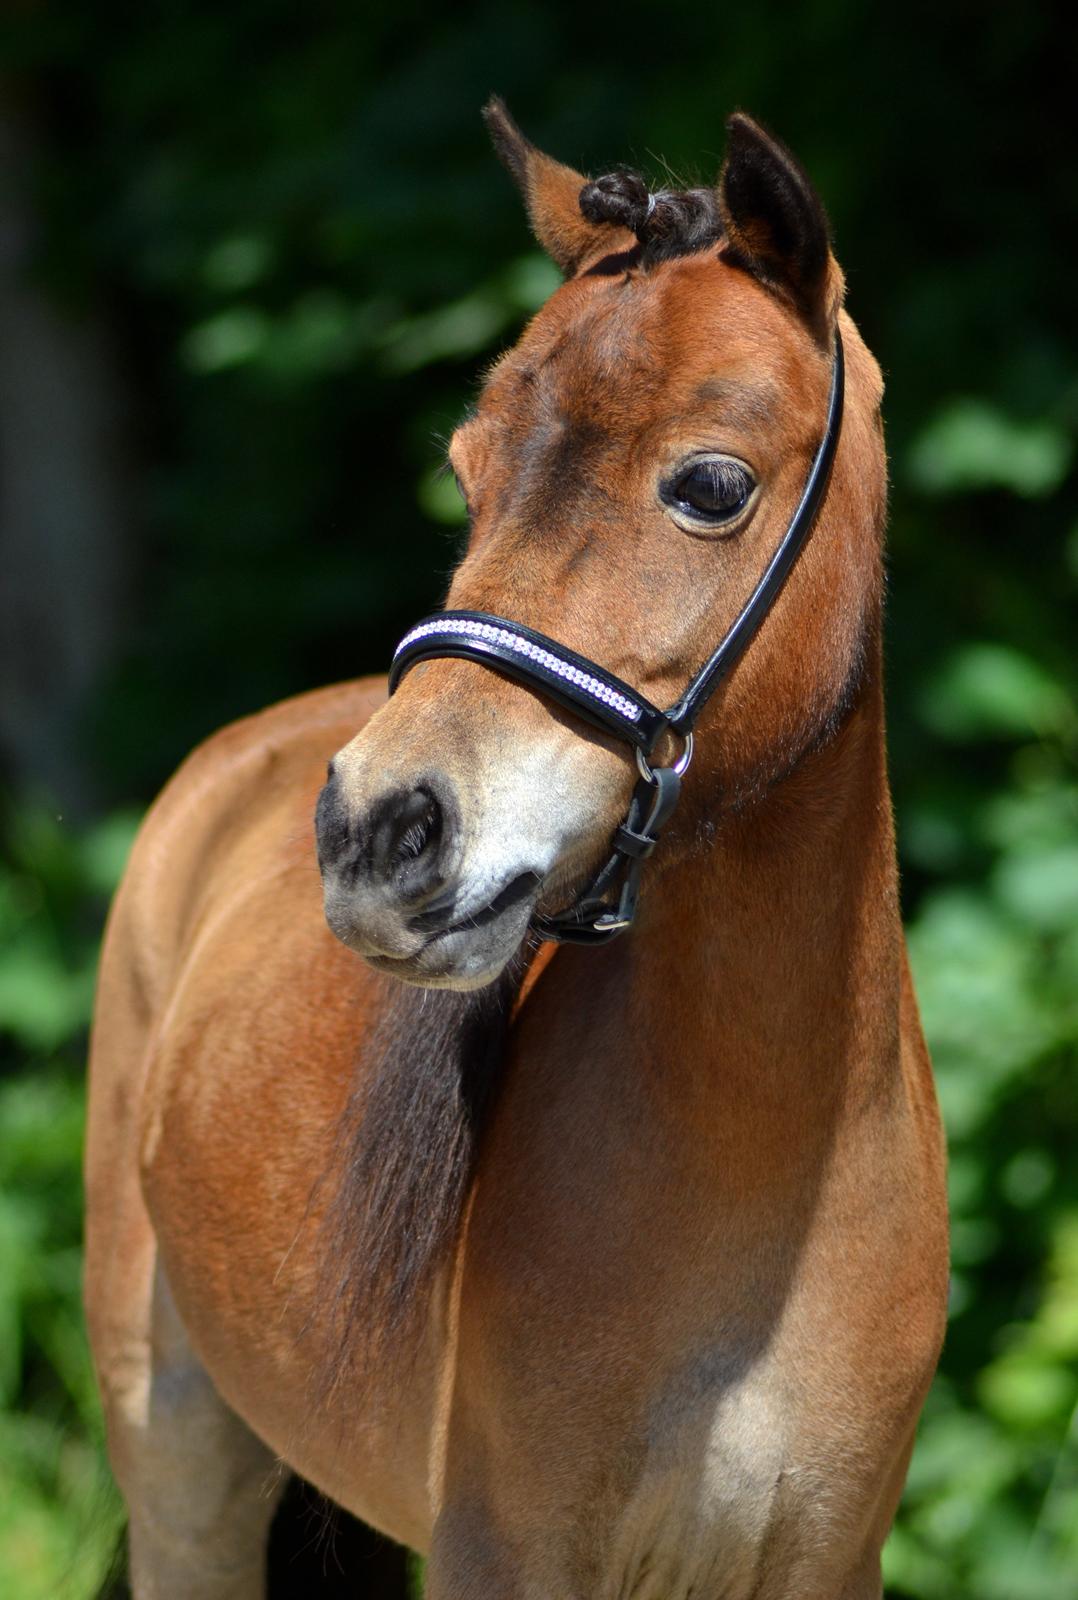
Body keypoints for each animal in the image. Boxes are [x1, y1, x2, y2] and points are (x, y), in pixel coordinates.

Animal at [85, 106, 940, 1593]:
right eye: (467, 475)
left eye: (709, 485)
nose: (378, 830)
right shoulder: (503, 1551)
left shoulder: (828, 1558)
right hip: (180, 1458)